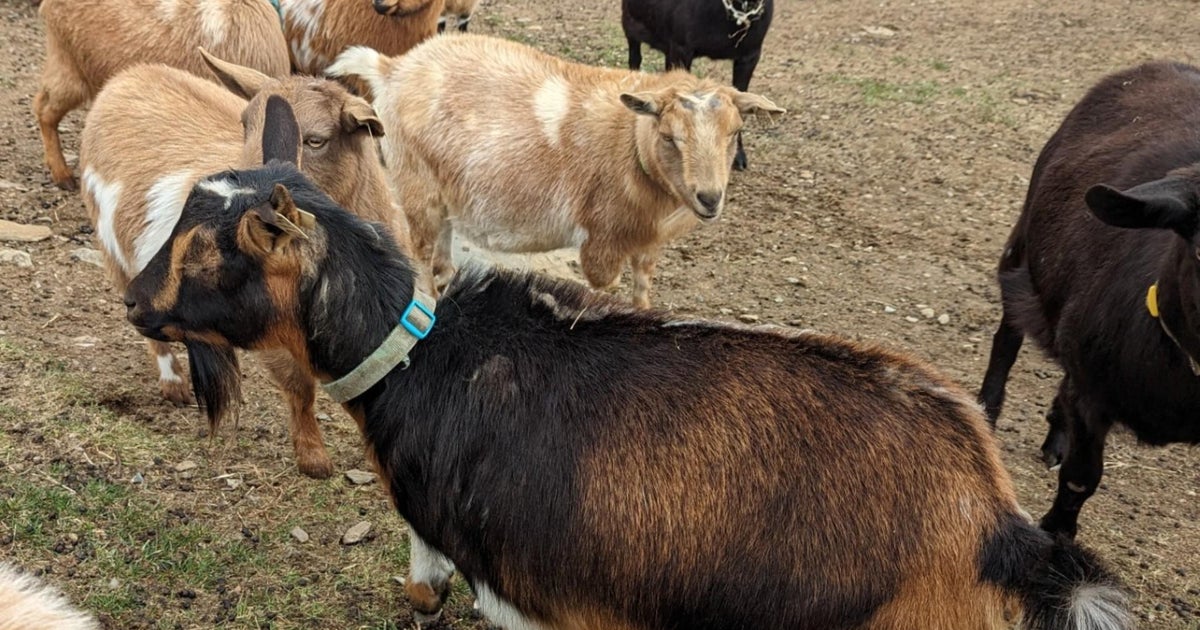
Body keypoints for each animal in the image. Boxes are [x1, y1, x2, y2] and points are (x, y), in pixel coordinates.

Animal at [79, 51, 397, 479]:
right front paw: (313, 457)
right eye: (244, 124)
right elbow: (299, 386)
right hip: (114, 251)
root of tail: (128, 76)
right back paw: (173, 381)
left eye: (316, 139)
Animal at [326, 34, 784, 308]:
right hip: (416, 185)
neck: (629, 140)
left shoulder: (646, 241)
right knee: (419, 254)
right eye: (670, 136)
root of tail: (392, 69)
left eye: (735, 133)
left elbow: (642, 289)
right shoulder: (603, 239)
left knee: (440, 263)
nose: (710, 198)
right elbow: (607, 290)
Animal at [979, 60, 1200, 538]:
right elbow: (1081, 478)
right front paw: (1057, 533)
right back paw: (987, 411)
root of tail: (1164, 65)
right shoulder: (1093, 398)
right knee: (1007, 337)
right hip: (1023, 250)